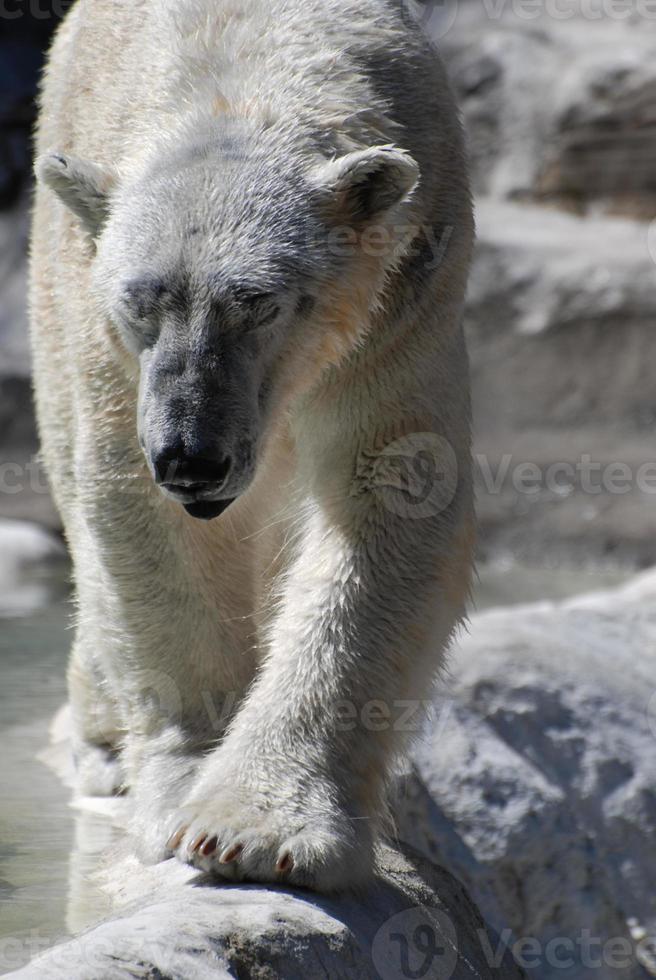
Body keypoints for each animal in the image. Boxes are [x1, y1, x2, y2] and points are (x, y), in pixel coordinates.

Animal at [30, 0, 474, 892]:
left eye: (259, 303)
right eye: (141, 301)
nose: (191, 458)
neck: (237, 78)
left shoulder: (403, 295)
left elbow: (391, 491)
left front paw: (256, 830)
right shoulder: (105, 342)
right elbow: (140, 516)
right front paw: (184, 793)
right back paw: (101, 746)